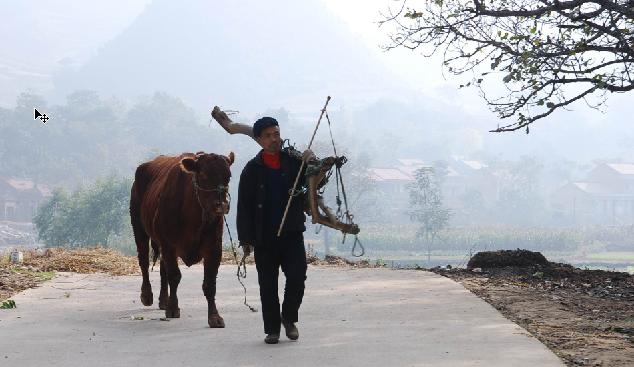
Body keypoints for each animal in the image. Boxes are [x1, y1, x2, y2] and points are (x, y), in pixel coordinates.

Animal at [128, 151, 235, 330]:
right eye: (203, 175)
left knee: (162, 267)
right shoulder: (169, 244)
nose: (221, 205)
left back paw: (163, 300)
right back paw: (147, 295)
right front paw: (173, 308)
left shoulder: (214, 248)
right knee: (143, 261)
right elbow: (175, 276)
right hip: (138, 226)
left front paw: (214, 317)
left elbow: (209, 283)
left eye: (228, 176)